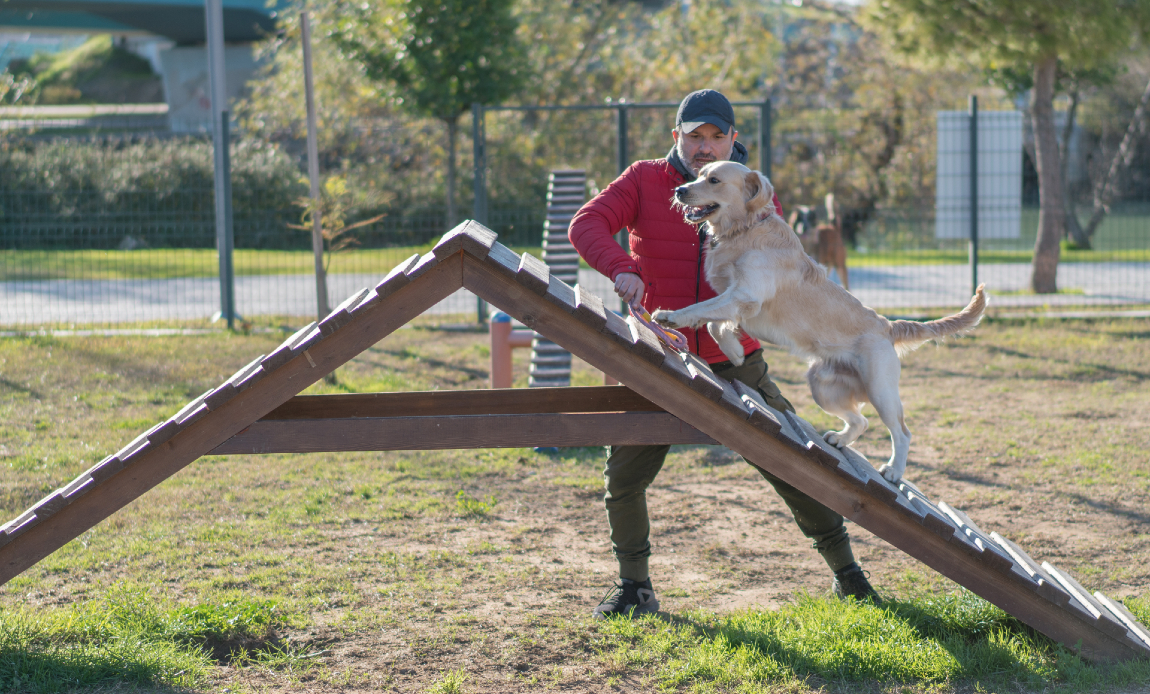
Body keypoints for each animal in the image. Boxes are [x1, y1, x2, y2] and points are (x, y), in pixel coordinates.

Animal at [653, 162, 984, 483]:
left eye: (714, 180)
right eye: (699, 175)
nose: (680, 190)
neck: (746, 228)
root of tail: (887, 326)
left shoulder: (745, 295)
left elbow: (701, 310)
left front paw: (671, 316)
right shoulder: (740, 301)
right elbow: (714, 323)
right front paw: (734, 351)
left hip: (880, 390)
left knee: (902, 432)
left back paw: (893, 471)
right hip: (822, 386)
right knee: (861, 421)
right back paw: (839, 439)